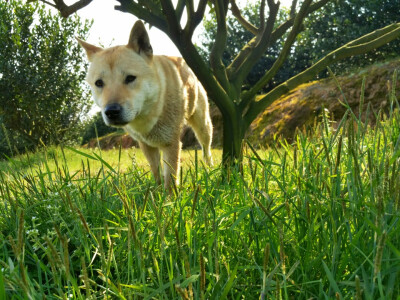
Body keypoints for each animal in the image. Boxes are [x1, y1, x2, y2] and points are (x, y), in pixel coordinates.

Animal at [77, 20, 212, 190]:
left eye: (130, 78)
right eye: (99, 83)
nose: (111, 111)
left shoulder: (171, 143)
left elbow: (170, 180)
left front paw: (170, 197)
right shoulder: (146, 145)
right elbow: (157, 174)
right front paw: (157, 193)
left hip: (203, 126)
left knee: (206, 149)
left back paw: (209, 170)